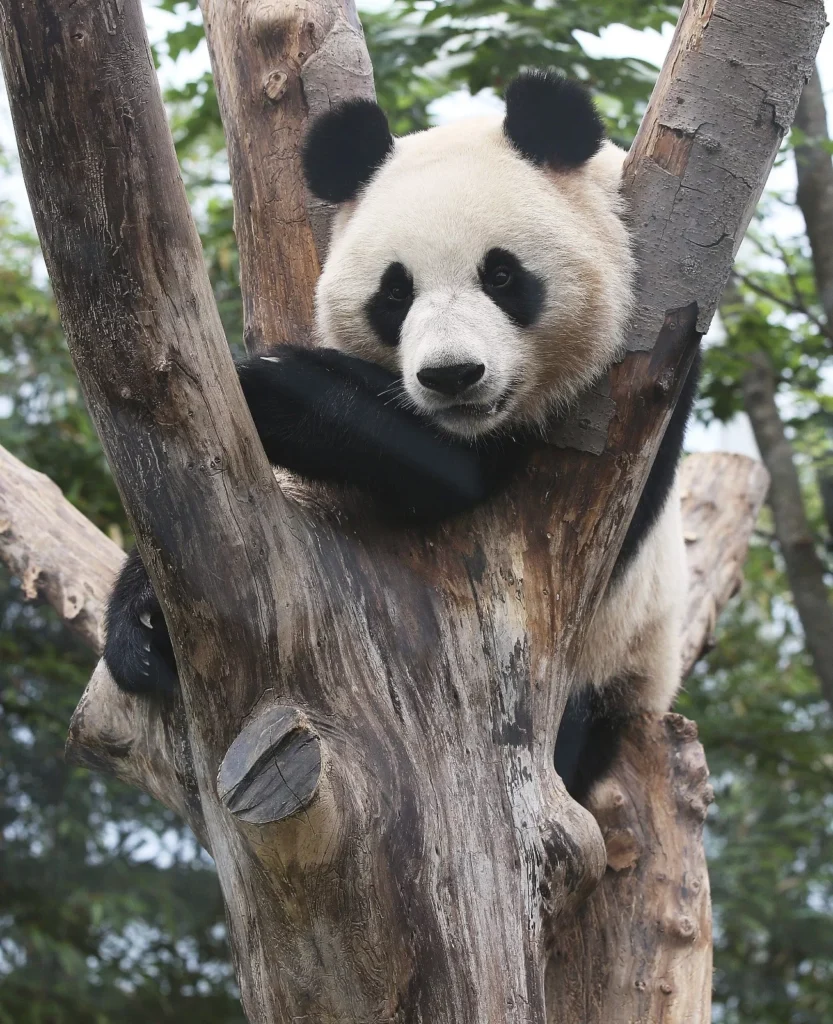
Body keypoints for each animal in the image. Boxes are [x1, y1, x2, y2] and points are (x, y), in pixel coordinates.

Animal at [104, 70, 699, 806]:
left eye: (502, 275)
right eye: (394, 293)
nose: (452, 376)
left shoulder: (639, 389)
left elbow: (452, 473)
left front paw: (268, 385)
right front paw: (140, 623)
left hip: (618, 664)